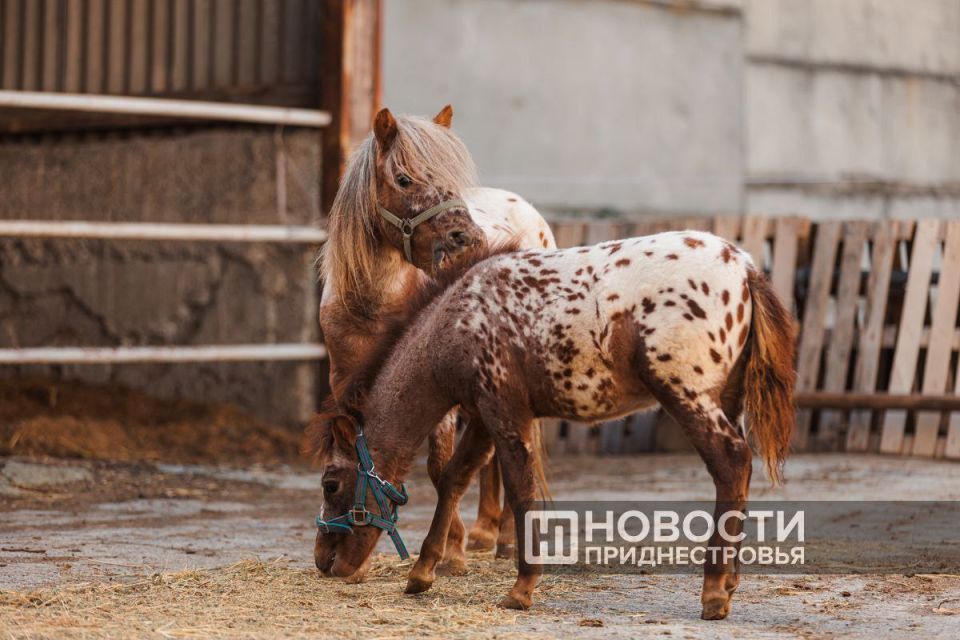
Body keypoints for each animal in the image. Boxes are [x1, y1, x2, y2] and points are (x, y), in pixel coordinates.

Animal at [309, 230, 796, 620]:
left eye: (330, 484)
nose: (323, 561)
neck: (455, 321)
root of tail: (745, 267)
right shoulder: (484, 417)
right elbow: (454, 479)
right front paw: (422, 572)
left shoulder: (505, 413)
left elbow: (521, 492)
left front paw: (521, 589)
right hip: (724, 402)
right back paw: (729, 582)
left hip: (686, 395)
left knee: (731, 464)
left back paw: (713, 592)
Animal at [317, 104, 556, 578]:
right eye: (404, 179)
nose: (468, 239)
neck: (372, 303)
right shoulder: (345, 382)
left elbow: (438, 464)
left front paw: (450, 553)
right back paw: (486, 532)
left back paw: (503, 538)